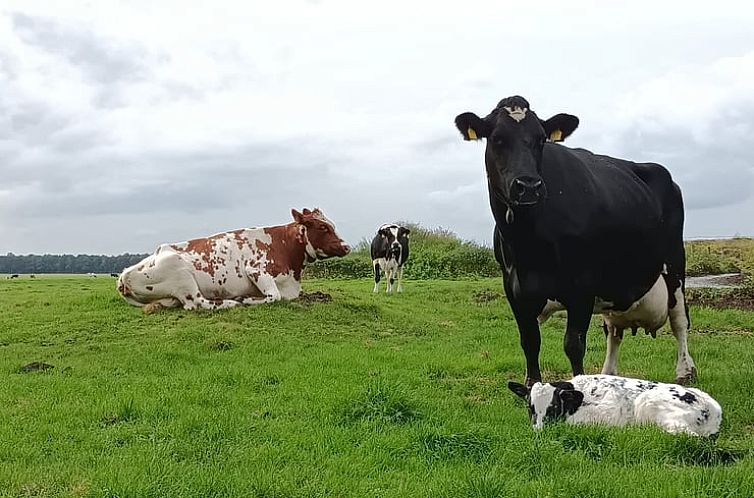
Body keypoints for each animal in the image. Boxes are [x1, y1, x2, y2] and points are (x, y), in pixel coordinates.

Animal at [117, 207, 350, 312]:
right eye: (323, 227)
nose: (346, 246)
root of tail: (123, 275)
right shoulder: (255, 269)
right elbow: (274, 296)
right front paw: (246, 299)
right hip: (181, 274)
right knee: (198, 303)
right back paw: (231, 302)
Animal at [452, 95, 692, 388]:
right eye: (497, 138)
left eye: (541, 139)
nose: (528, 186)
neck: (529, 246)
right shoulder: (513, 288)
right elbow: (530, 342)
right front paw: (531, 386)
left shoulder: (582, 287)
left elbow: (573, 344)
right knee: (613, 330)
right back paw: (608, 373)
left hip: (675, 262)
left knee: (680, 320)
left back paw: (684, 371)